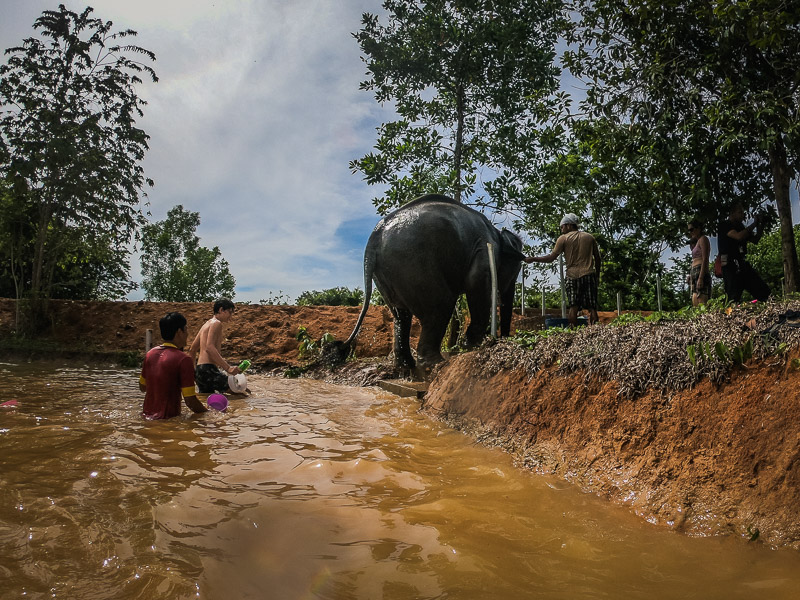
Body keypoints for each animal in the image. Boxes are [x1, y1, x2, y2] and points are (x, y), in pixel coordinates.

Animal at [338, 195, 524, 368]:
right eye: (516, 268)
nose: (503, 338)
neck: (497, 233)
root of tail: (375, 236)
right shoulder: (484, 249)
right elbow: (476, 285)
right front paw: (471, 346)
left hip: (388, 272)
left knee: (401, 315)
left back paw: (407, 368)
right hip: (412, 262)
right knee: (441, 304)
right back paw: (434, 364)